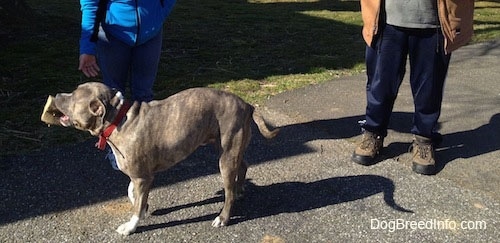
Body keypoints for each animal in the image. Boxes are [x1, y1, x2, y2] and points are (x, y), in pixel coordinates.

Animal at [42, 81, 278, 235]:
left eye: (73, 96)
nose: (57, 95)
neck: (117, 118)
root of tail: (247, 105)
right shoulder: (140, 175)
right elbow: (132, 192)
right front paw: (143, 205)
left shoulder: (142, 177)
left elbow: (136, 206)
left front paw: (131, 226)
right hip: (227, 149)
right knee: (243, 165)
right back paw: (240, 190)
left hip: (226, 159)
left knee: (228, 193)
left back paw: (223, 217)